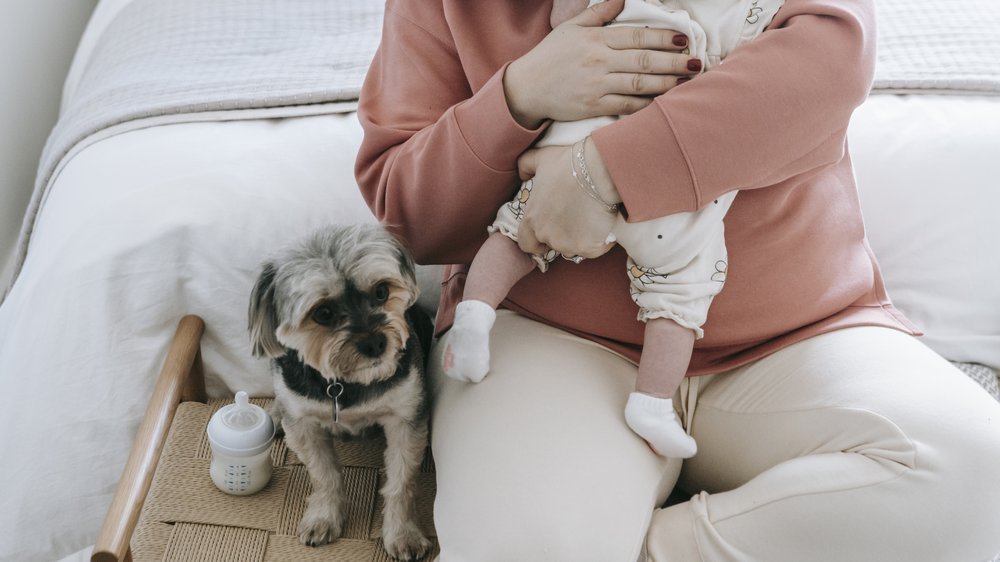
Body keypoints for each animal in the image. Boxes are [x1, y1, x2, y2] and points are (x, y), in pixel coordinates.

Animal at [248, 222, 432, 556]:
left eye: (382, 291)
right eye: (322, 313)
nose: (375, 343)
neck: (346, 383)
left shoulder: (406, 419)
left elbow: (401, 484)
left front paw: (403, 534)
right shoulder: (304, 425)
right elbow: (324, 476)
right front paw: (324, 517)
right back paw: (276, 414)